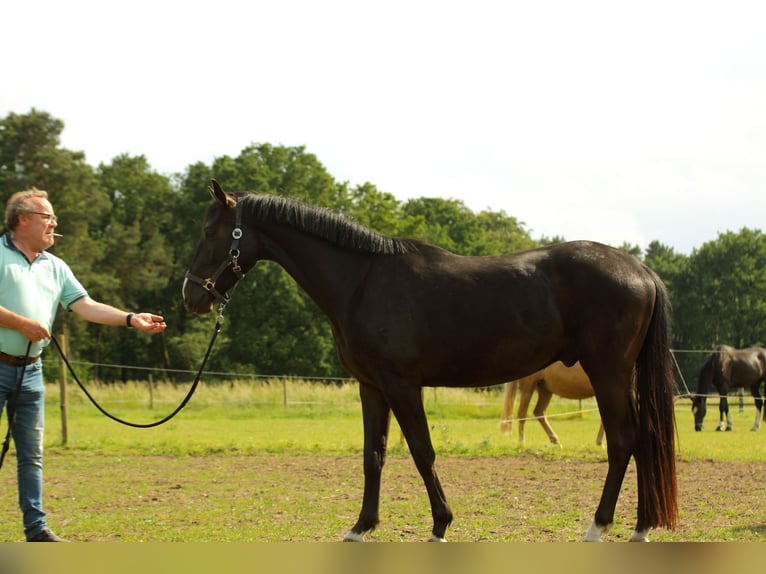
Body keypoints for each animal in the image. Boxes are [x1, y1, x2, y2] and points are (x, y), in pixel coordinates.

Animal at [182, 180, 678, 542]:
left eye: (210, 232)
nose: (191, 296)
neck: (362, 282)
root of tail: (641, 271)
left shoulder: (402, 384)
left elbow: (422, 451)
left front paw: (440, 524)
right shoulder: (372, 386)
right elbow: (374, 454)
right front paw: (361, 527)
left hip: (608, 374)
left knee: (623, 440)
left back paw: (600, 526)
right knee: (641, 439)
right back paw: (641, 527)